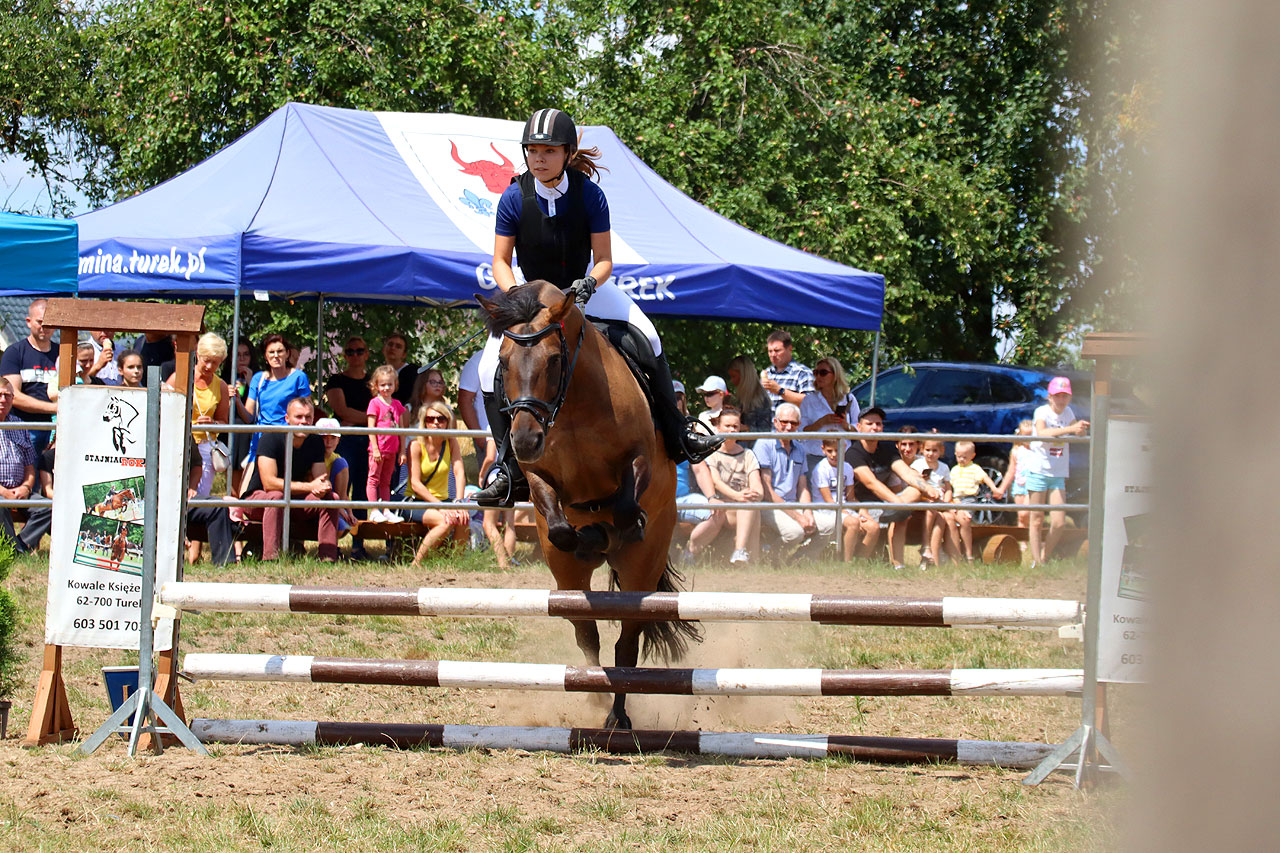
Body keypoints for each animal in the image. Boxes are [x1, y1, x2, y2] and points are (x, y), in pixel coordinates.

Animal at [478, 281, 706, 727]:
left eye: (553, 359)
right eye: (503, 362)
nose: (524, 440)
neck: (573, 404)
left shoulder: (640, 458)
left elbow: (625, 505)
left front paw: (613, 529)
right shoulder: (538, 477)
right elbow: (561, 526)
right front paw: (589, 537)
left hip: (642, 569)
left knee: (626, 643)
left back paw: (618, 716)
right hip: (566, 580)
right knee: (587, 633)